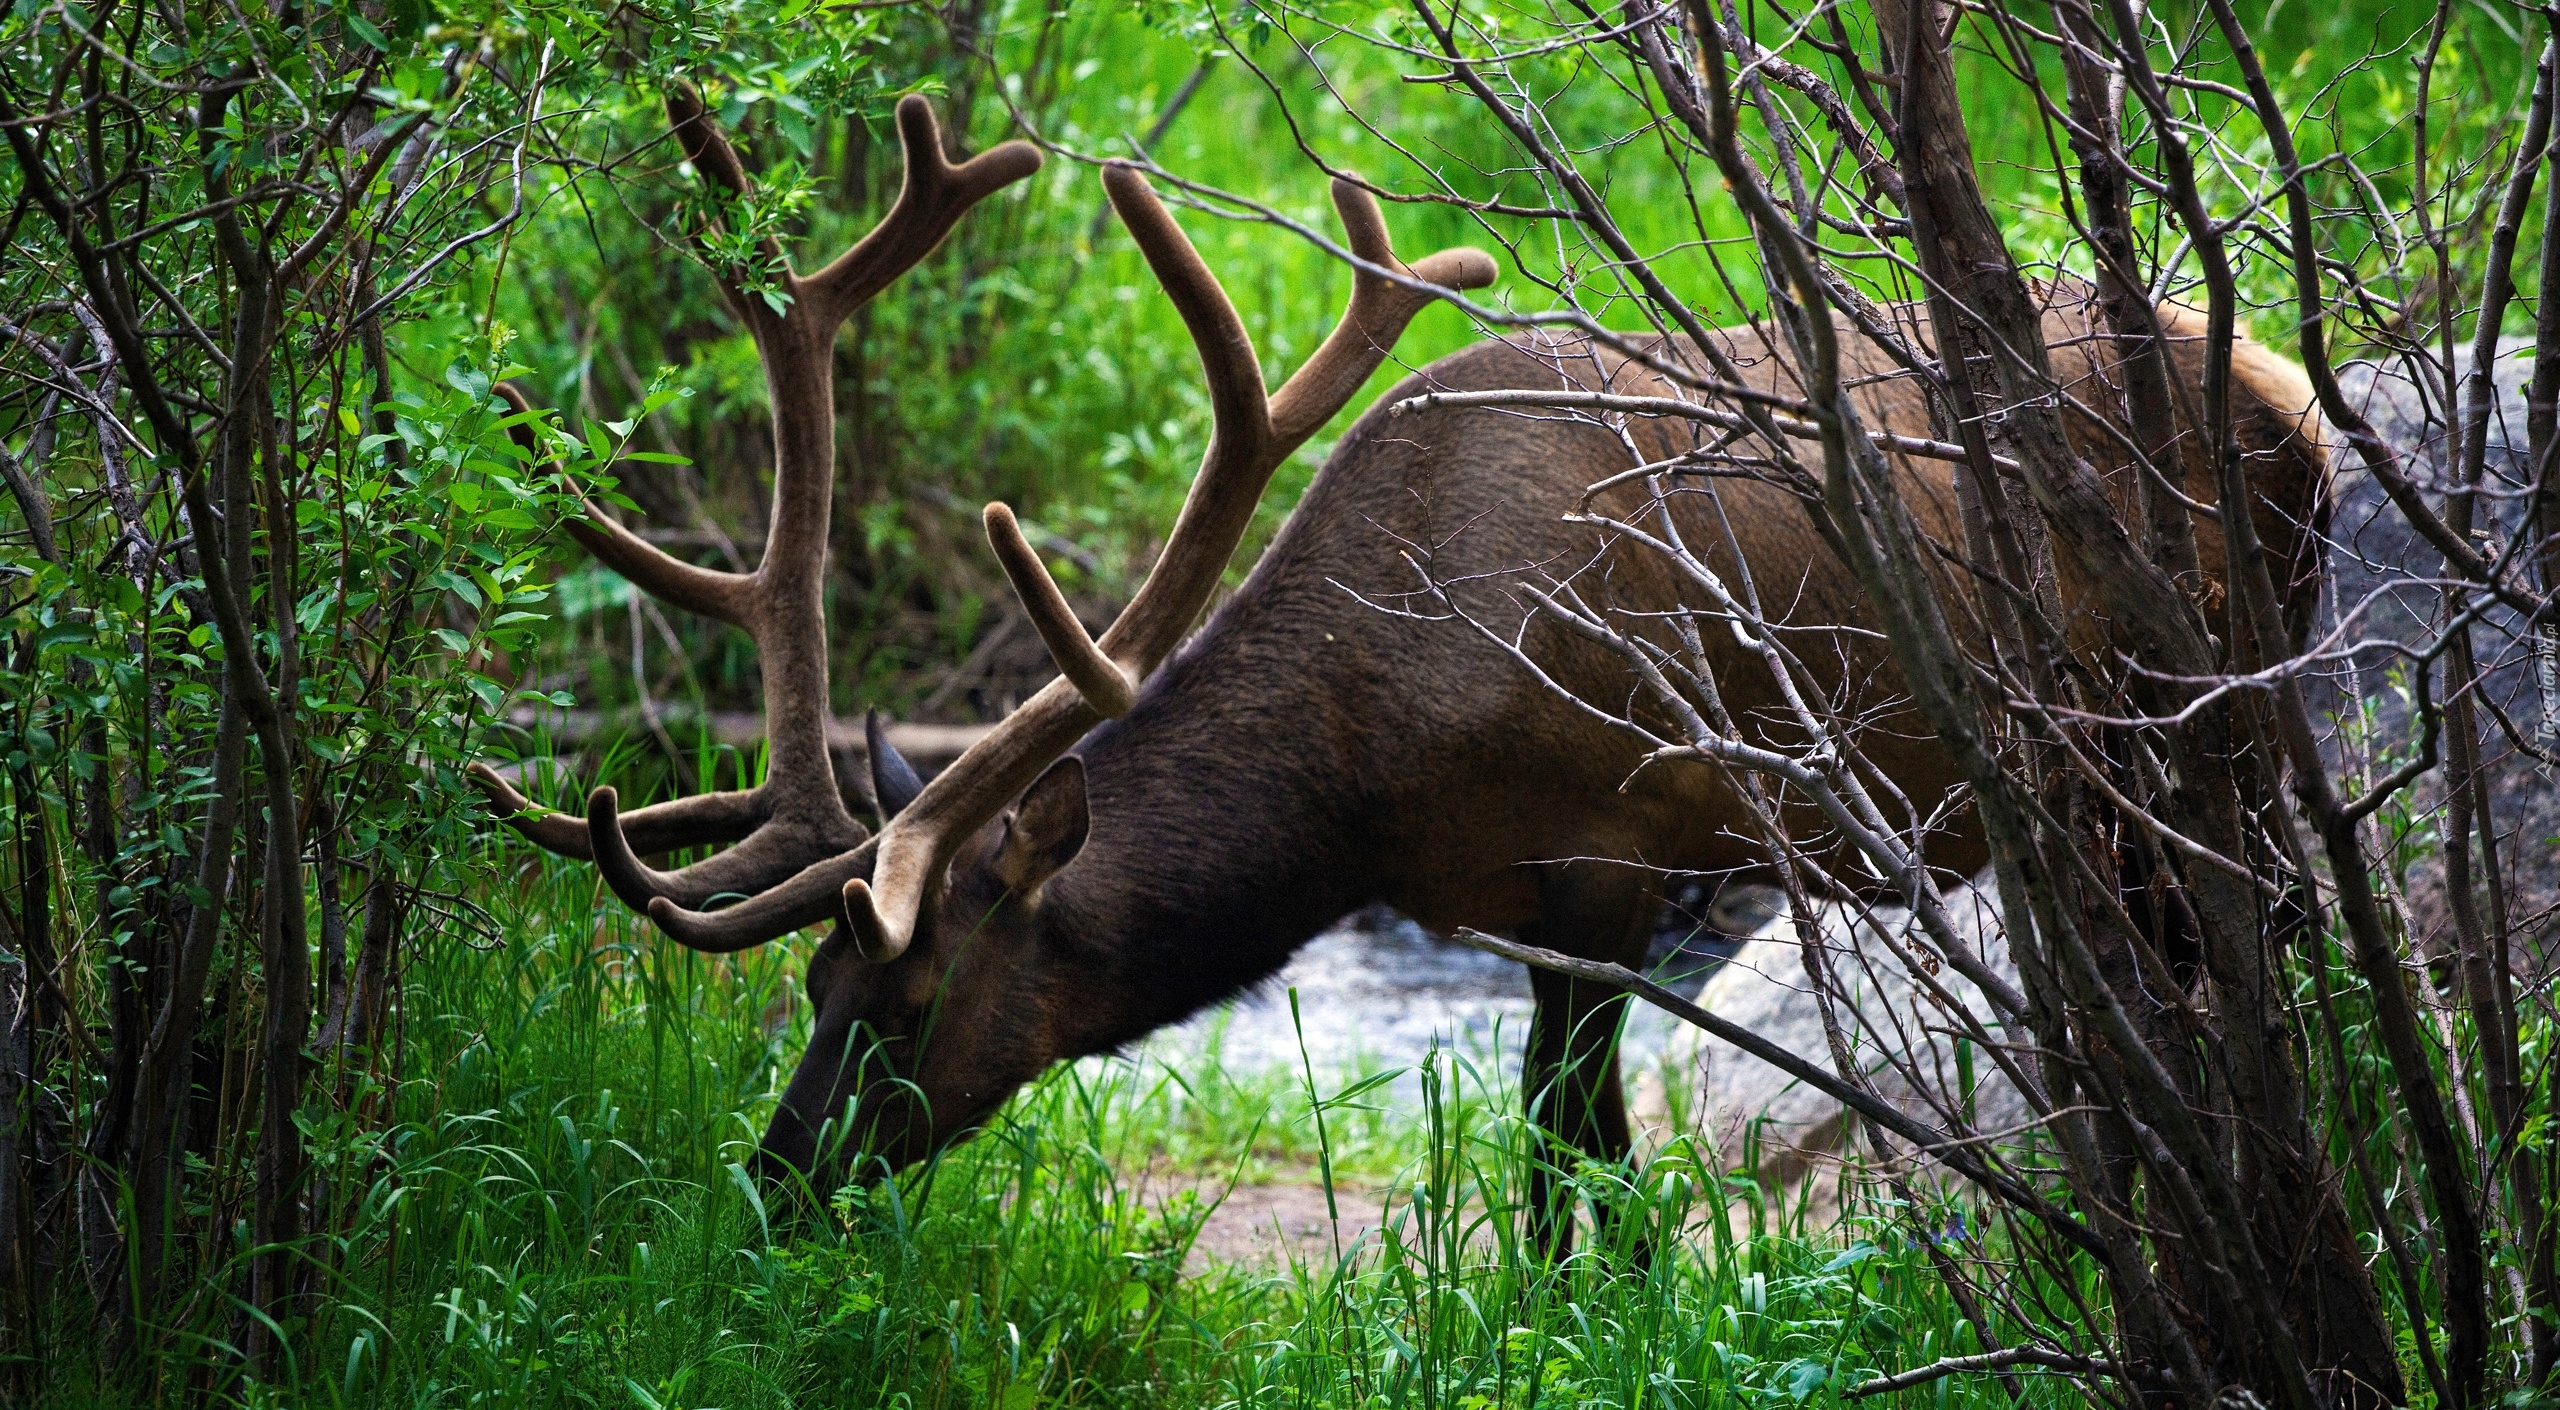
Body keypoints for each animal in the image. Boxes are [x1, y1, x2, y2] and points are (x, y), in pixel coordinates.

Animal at [471, 88, 2334, 1248]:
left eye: (911, 1000)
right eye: (809, 989)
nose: (773, 1187)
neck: (1367, 781)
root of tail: (2292, 395)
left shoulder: (1612, 849)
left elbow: (1572, 1157)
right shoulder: (1508, 899)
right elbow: (1559, 1153)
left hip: (2202, 721)